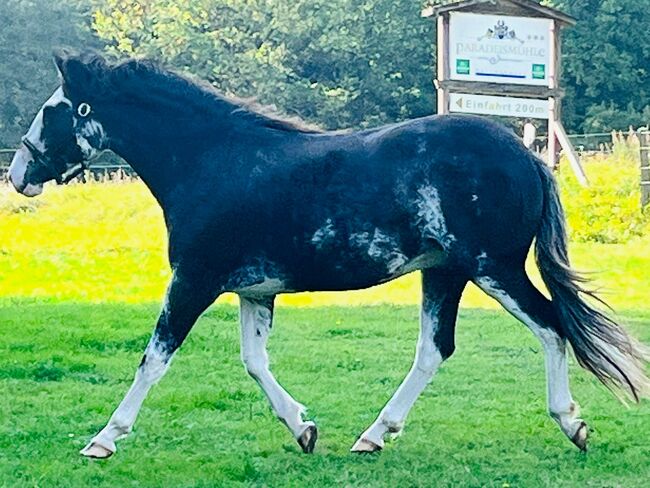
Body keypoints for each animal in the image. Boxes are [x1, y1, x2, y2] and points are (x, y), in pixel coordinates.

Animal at [7, 52, 644, 458]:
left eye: (56, 109)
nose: (18, 174)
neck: (213, 162)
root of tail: (526, 154)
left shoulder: (195, 280)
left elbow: (154, 359)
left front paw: (103, 440)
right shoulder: (253, 291)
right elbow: (254, 362)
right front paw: (303, 430)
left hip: (495, 268)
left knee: (550, 325)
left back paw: (572, 424)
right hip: (447, 273)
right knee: (435, 350)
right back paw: (373, 435)